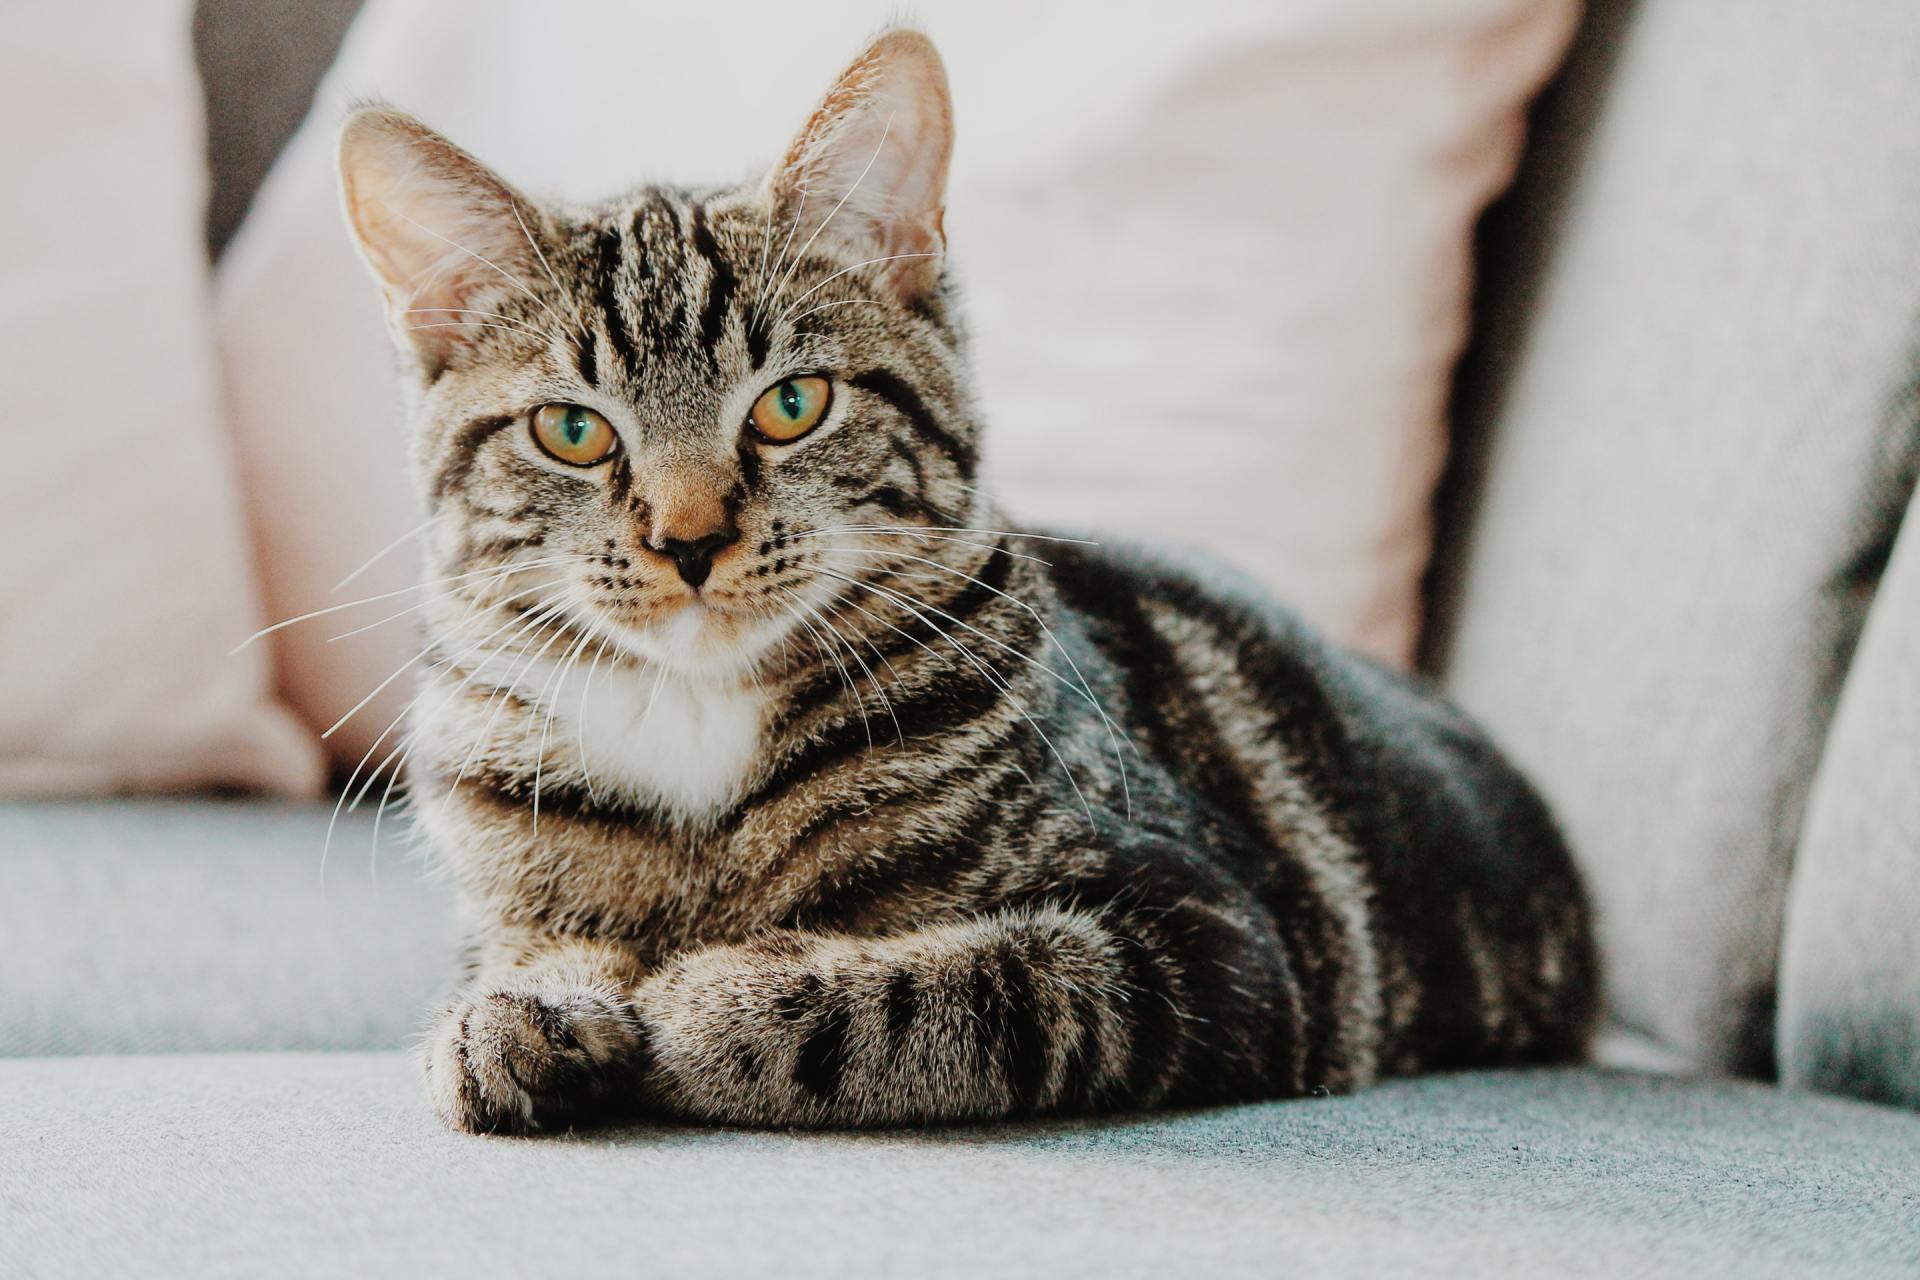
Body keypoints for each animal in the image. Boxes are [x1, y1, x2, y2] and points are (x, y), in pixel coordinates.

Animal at [334, 29, 1605, 1136]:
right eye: (572, 430)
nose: (688, 539)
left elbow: (956, 990)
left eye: (792, 404)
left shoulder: (1210, 939)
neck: (697, 722)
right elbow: (526, 948)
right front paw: (517, 1008)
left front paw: (708, 999)